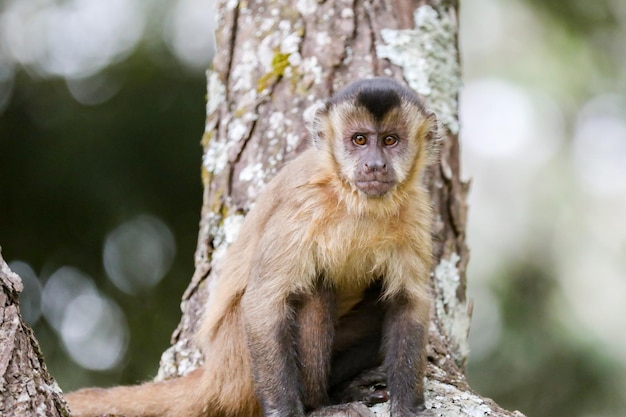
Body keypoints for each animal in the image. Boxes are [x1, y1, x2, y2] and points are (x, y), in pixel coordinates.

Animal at [66, 77, 436, 416]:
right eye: (359, 139)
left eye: (390, 140)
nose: (374, 164)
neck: (356, 201)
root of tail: (214, 371)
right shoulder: (303, 205)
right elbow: (263, 303)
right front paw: (288, 412)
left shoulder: (417, 210)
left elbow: (408, 302)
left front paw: (407, 406)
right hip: (238, 360)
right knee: (314, 288)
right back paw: (320, 403)